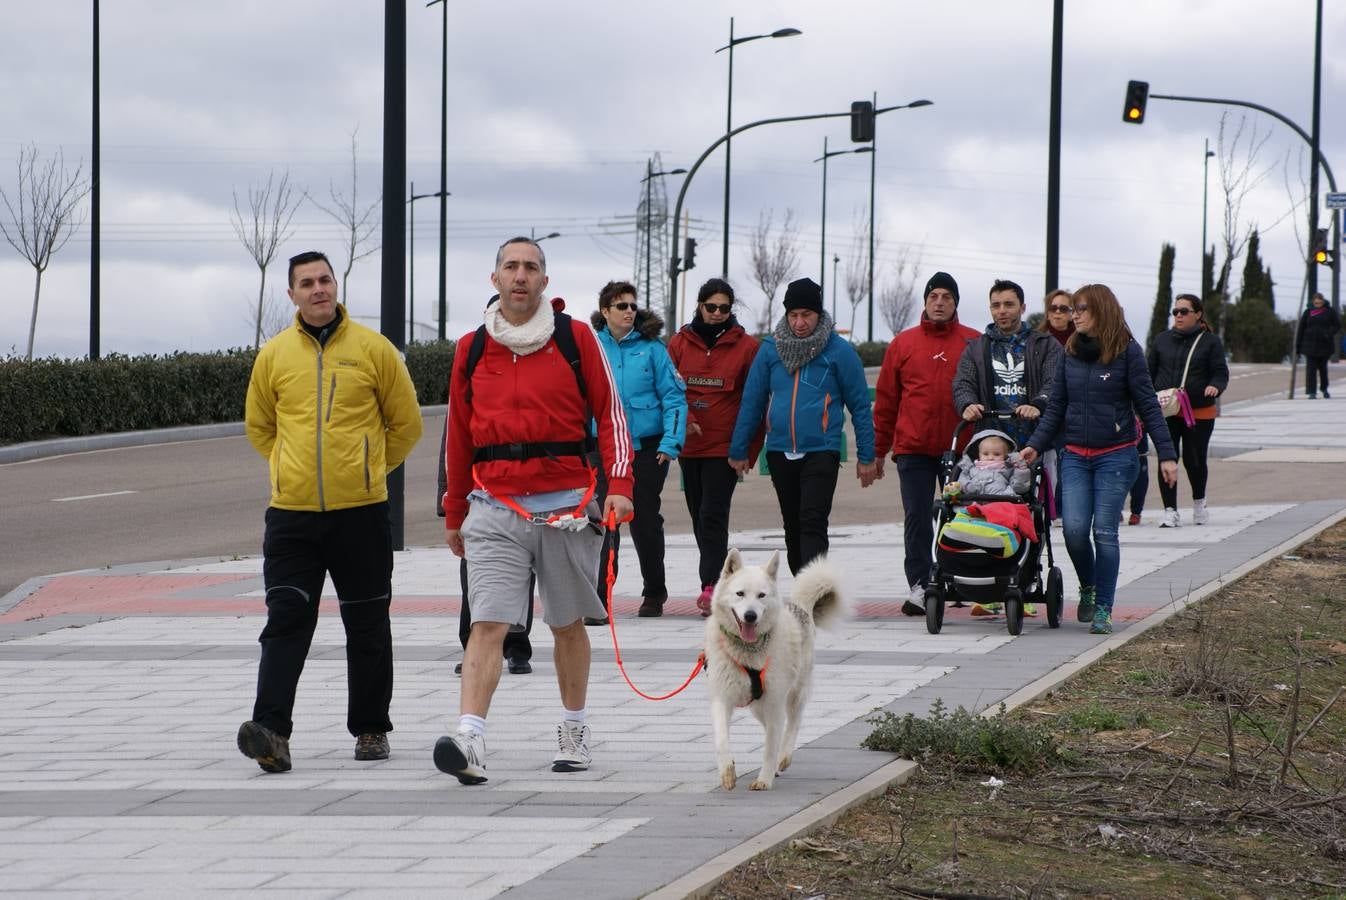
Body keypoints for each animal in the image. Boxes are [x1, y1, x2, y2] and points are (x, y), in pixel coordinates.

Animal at [705, 543, 839, 791]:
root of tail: (800, 608)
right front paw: (727, 772)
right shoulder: (722, 698)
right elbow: (721, 740)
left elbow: (769, 747)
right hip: (759, 707)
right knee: (774, 728)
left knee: (791, 724)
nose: (750, 615)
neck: (747, 651)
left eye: (761, 595)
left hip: (794, 693)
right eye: (740, 593)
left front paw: (764, 780)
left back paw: (783, 757)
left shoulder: (774, 700)